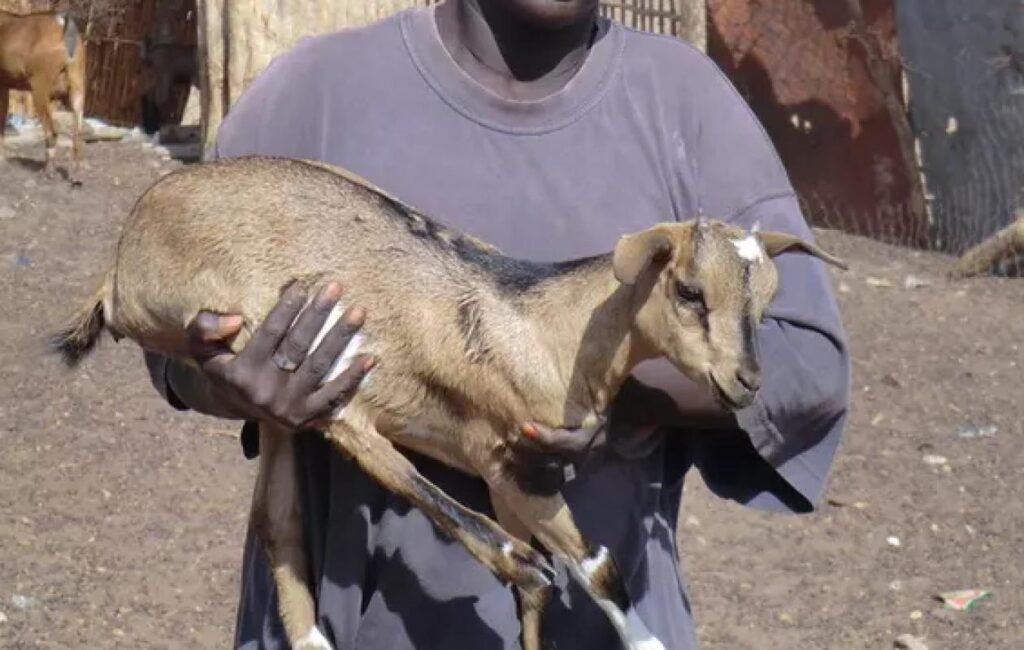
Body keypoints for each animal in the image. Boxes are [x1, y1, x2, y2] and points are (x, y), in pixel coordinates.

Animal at [0, 9, 86, 181]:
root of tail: (62, 22)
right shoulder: (4, 86)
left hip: (39, 89)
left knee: (52, 132)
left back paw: (48, 172)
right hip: (77, 89)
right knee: (77, 134)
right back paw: (75, 175)